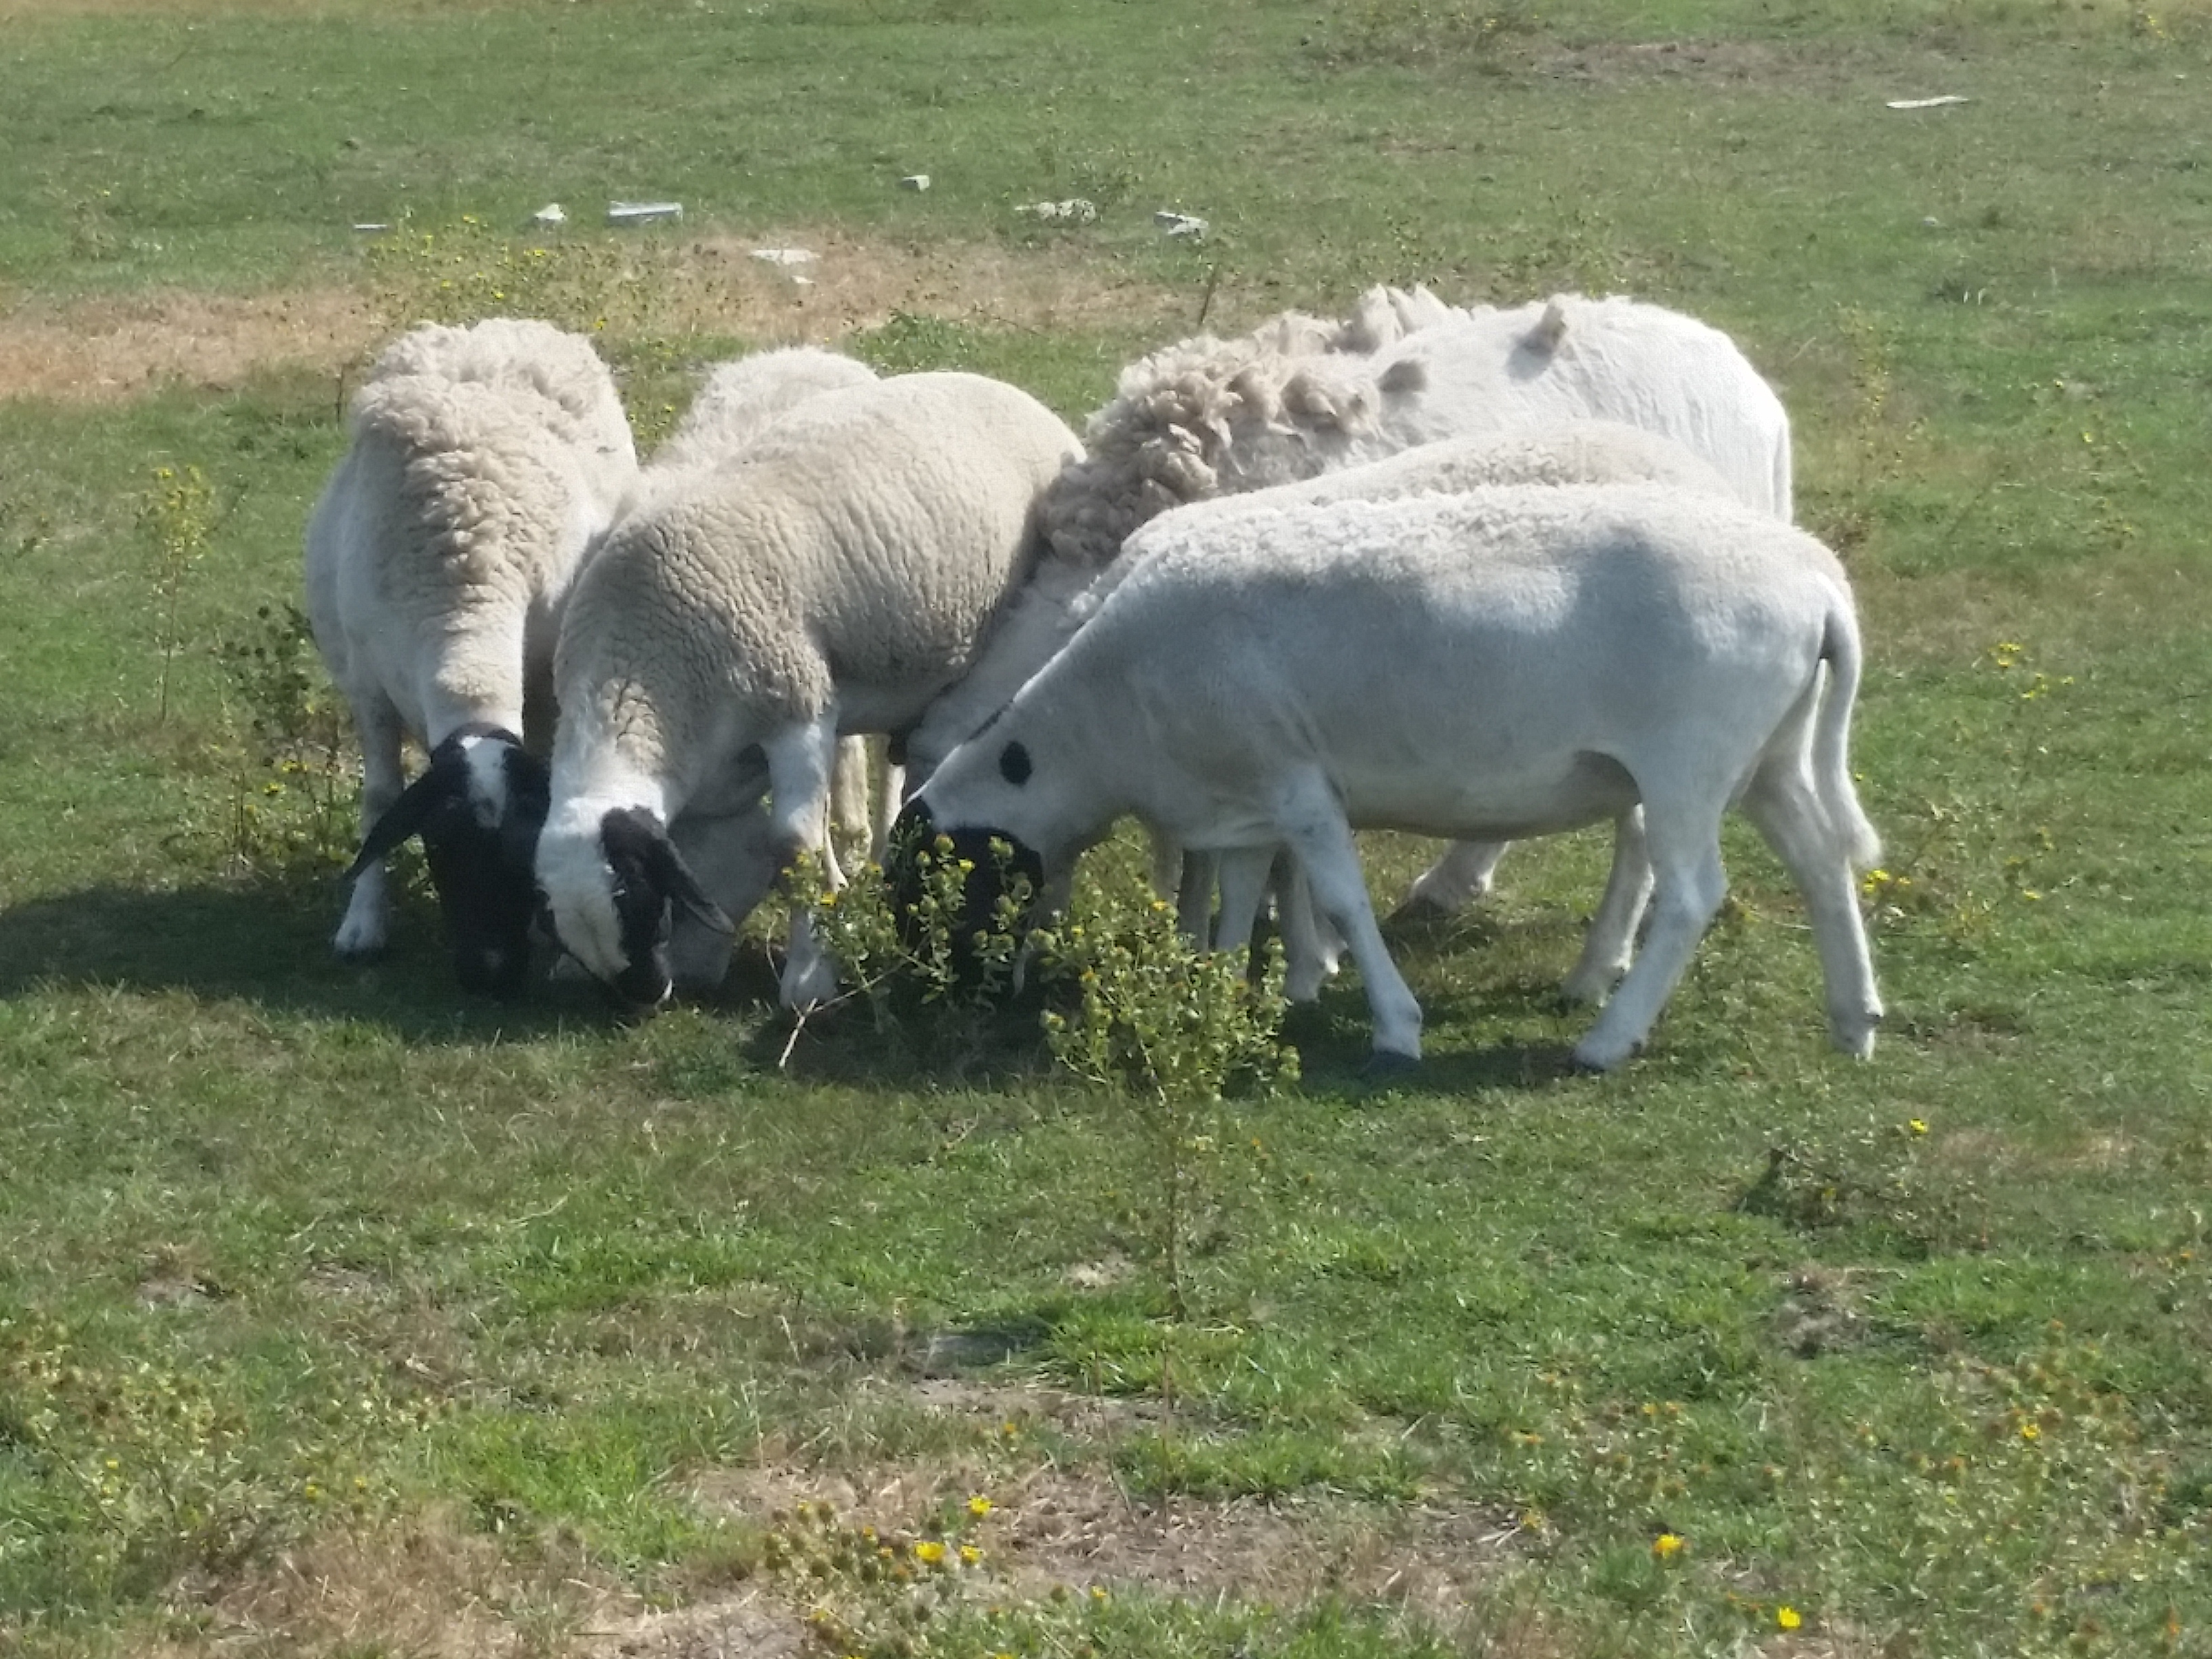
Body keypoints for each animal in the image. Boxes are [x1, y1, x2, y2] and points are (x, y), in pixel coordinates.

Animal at [307, 316, 638, 994]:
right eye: (440, 844)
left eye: (523, 851)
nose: (491, 974)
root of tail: (497, 327)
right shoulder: (367, 689)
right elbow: (379, 799)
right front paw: (362, 925)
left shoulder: (546, 684)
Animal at [533, 370, 1084, 1014]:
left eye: (642, 902)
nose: (646, 996)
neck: (644, 664)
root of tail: (1007, 388)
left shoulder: (798, 706)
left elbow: (792, 846)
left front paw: (809, 975)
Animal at [893, 483, 1882, 1073]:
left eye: (935, 879)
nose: (936, 1000)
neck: (1105, 721)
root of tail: (1818, 583)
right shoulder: (1242, 800)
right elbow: (1239, 899)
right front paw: (1218, 992)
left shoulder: (1297, 786)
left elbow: (1339, 898)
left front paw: (1395, 1027)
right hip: (1772, 753)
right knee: (1822, 860)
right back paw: (1855, 1020)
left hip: (1689, 761)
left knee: (1690, 895)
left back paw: (1606, 1039)